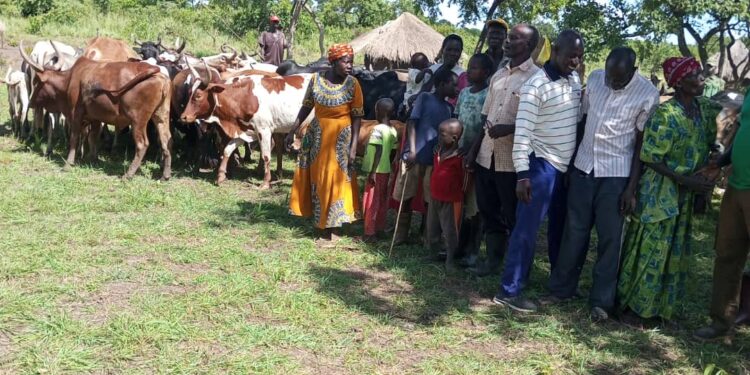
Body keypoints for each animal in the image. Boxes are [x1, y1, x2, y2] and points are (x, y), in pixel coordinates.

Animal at [22, 46, 173, 181]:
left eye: (36, 82)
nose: (31, 103)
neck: (70, 79)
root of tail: (158, 74)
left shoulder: (76, 114)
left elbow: (74, 138)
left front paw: (68, 164)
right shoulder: (95, 117)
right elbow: (93, 137)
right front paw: (93, 159)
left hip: (138, 120)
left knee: (142, 144)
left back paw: (128, 175)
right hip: (161, 116)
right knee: (166, 140)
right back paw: (165, 175)